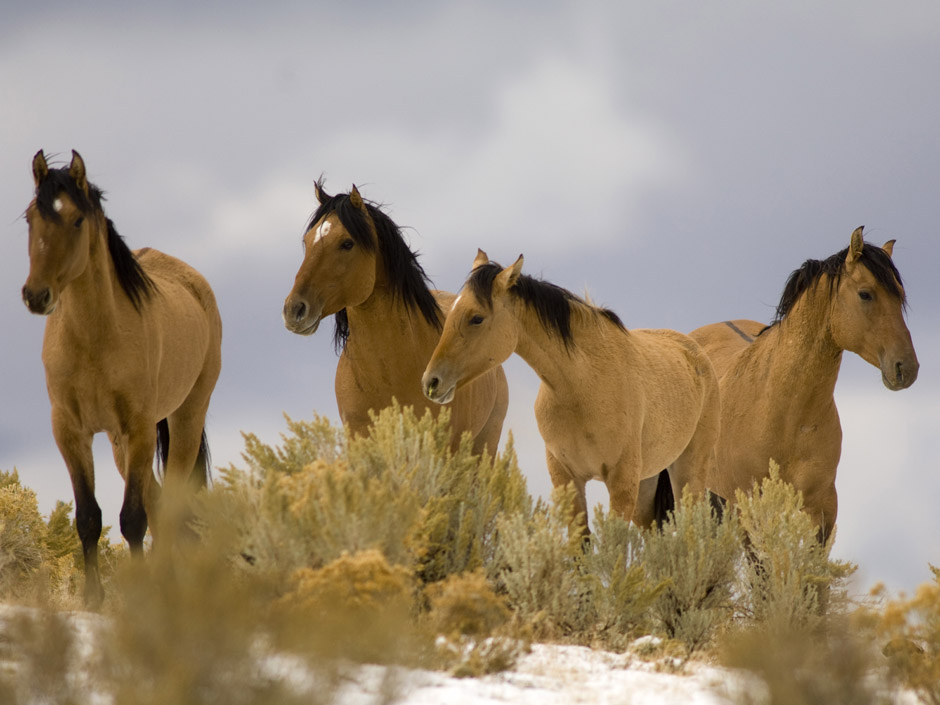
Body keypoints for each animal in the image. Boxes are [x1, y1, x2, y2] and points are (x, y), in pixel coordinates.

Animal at [22, 150, 222, 604]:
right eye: (30, 217)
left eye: (77, 219)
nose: (36, 295)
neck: (95, 338)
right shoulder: (71, 431)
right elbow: (88, 517)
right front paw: (93, 598)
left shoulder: (139, 428)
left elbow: (133, 518)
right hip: (118, 443)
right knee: (159, 502)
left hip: (183, 419)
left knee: (170, 506)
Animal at [420, 250, 720, 532]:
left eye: (477, 318)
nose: (431, 382)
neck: (583, 385)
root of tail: (697, 354)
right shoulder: (567, 478)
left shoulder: (621, 482)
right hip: (648, 482)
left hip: (687, 473)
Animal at [692, 227, 916, 540]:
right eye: (865, 294)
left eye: (901, 296)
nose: (906, 367)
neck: (784, 414)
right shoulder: (747, 508)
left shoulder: (822, 510)